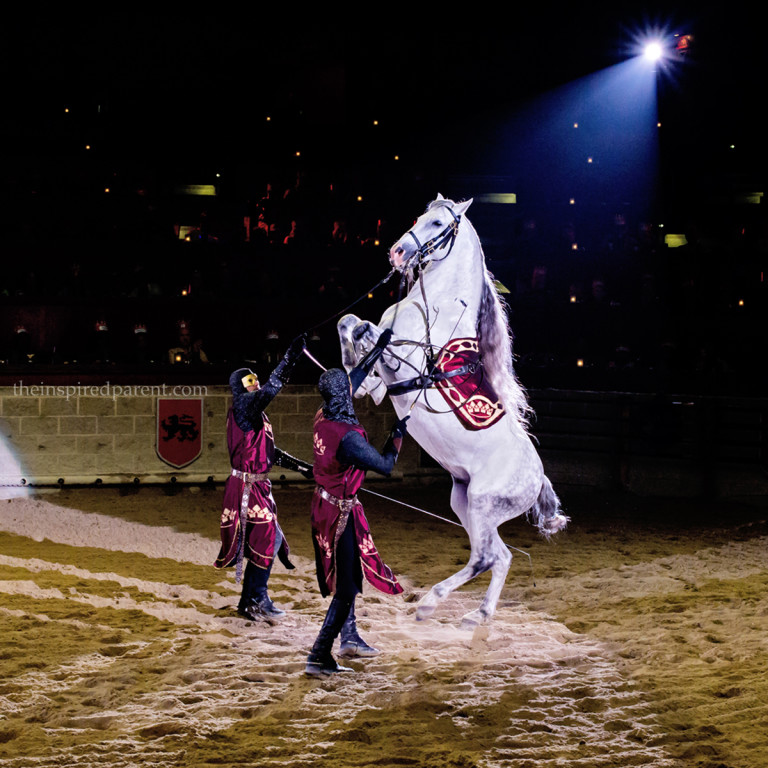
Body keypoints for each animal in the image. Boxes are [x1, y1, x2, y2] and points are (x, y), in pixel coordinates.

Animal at [340, 194, 568, 624]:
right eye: (419, 217)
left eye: (437, 224)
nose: (398, 252)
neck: (437, 308)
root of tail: (539, 478)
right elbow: (350, 325)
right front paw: (352, 370)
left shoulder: (407, 364)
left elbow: (370, 332)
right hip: (464, 502)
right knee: (500, 555)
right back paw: (479, 614)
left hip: (481, 502)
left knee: (484, 558)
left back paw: (431, 602)